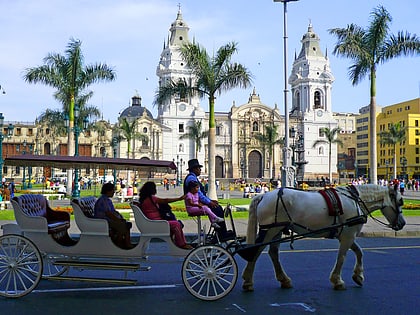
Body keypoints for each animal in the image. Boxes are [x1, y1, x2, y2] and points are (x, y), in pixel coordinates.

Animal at [241, 185, 406, 292]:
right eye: (400, 202)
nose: (403, 223)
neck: (355, 200)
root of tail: (264, 195)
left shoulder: (346, 234)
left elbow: (359, 252)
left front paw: (358, 276)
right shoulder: (347, 235)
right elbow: (342, 257)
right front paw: (337, 281)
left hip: (277, 230)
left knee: (273, 253)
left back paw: (284, 279)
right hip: (270, 230)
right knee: (256, 252)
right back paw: (248, 281)